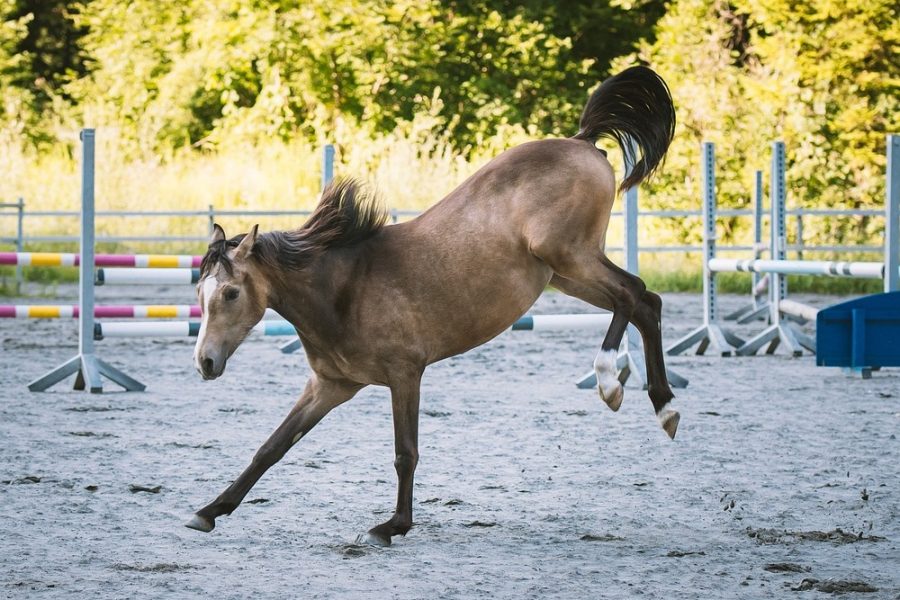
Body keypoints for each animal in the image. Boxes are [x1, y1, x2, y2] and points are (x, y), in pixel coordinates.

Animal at [185, 65, 676, 544]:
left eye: (230, 293)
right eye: (199, 294)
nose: (205, 362)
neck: (344, 290)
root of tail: (582, 141)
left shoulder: (405, 375)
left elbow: (405, 452)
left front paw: (393, 526)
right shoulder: (330, 386)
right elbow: (271, 447)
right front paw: (209, 511)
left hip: (570, 256)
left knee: (631, 293)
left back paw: (611, 381)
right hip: (566, 275)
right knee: (646, 302)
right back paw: (665, 406)